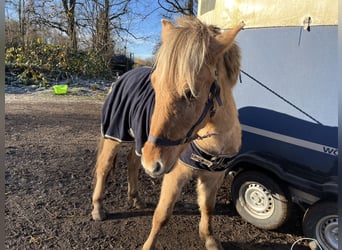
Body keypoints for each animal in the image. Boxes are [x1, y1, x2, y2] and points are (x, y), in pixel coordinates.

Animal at [91, 16, 243, 249]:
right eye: (154, 84)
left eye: (190, 93)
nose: (153, 164)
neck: (214, 142)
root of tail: (123, 75)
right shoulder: (175, 174)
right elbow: (162, 215)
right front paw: (148, 246)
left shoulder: (213, 176)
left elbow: (208, 208)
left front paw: (209, 239)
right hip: (115, 136)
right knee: (104, 168)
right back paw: (98, 208)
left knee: (133, 162)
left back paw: (136, 197)